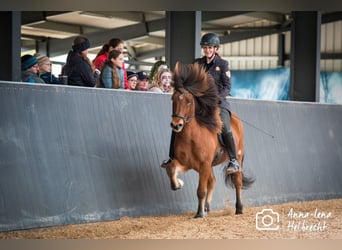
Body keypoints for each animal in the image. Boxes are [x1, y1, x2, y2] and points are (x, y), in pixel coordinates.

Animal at [161, 61, 254, 218]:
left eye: (189, 101)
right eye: (173, 99)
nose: (176, 125)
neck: (191, 136)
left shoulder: (204, 164)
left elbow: (200, 190)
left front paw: (199, 214)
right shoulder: (187, 163)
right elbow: (171, 167)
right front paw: (178, 184)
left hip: (237, 157)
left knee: (237, 182)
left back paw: (238, 209)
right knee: (212, 181)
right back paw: (207, 208)